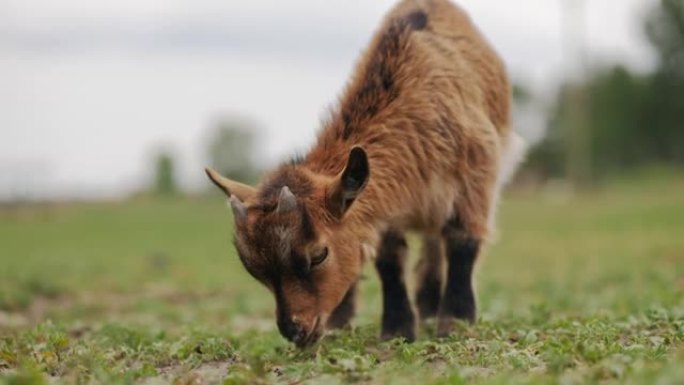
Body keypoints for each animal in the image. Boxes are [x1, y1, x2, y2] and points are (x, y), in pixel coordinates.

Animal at [206, 0, 528, 346]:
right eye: (256, 271)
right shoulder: (383, 208)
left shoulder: (476, 176)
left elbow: (462, 242)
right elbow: (388, 258)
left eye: (318, 255)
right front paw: (397, 329)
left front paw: (455, 321)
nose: (295, 331)